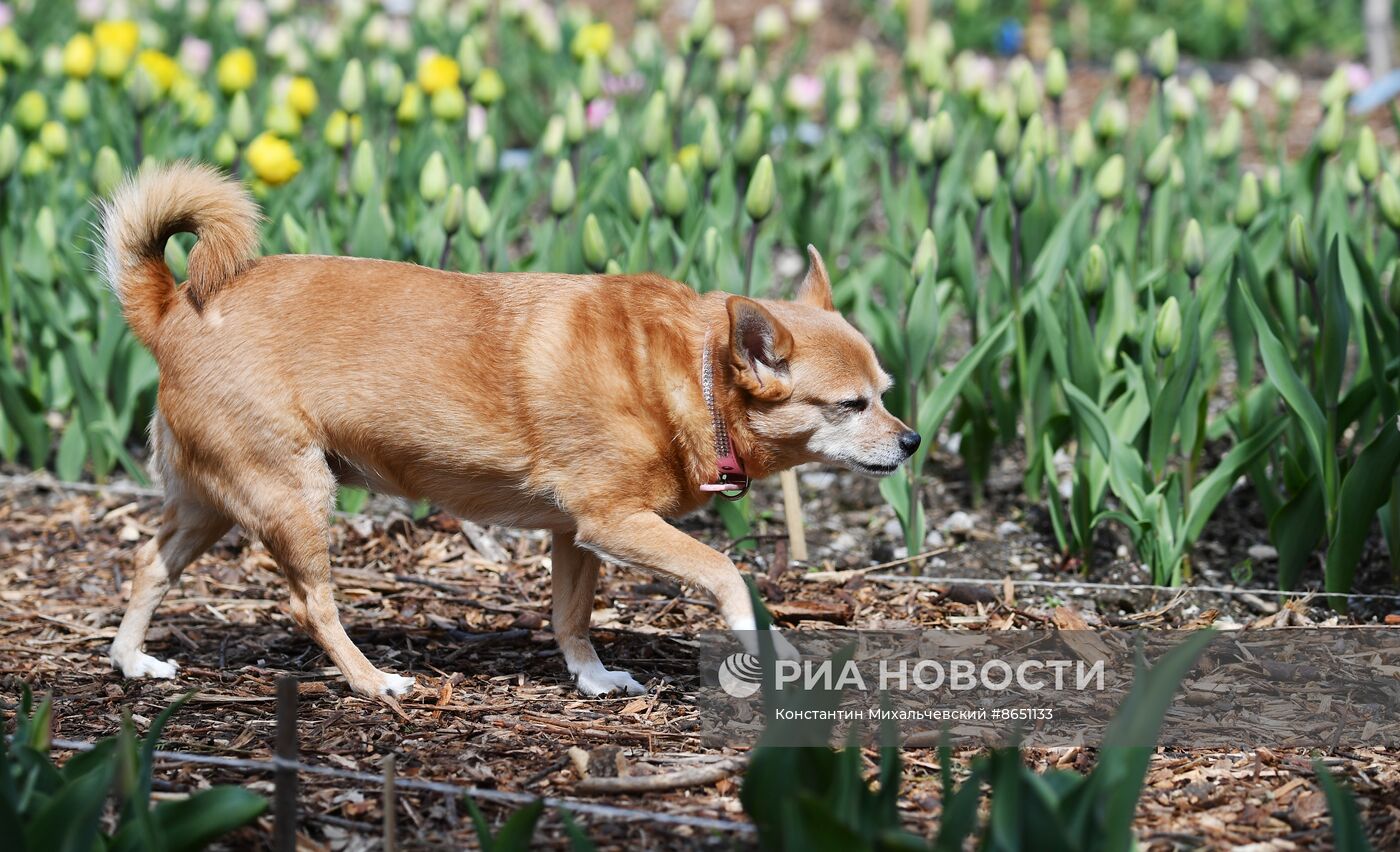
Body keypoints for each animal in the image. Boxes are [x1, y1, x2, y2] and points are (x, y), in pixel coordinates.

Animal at [95, 164, 907, 696]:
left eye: (887, 396)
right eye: (851, 406)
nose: (912, 441)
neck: (691, 369)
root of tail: (172, 307)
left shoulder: (576, 535)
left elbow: (571, 617)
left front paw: (593, 679)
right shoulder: (615, 522)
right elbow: (725, 571)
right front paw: (752, 641)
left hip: (211, 502)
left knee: (148, 562)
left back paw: (132, 661)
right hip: (295, 496)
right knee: (308, 604)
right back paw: (373, 681)